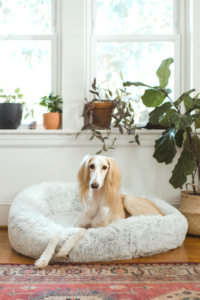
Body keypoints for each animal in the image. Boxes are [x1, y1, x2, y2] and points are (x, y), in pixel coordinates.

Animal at [34, 155, 164, 268]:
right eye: (91, 166)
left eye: (104, 167)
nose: (94, 185)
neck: (97, 203)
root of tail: (162, 212)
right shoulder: (73, 226)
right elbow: (56, 235)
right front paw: (43, 259)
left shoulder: (98, 229)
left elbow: (83, 231)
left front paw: (64, 249)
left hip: (128, 200)